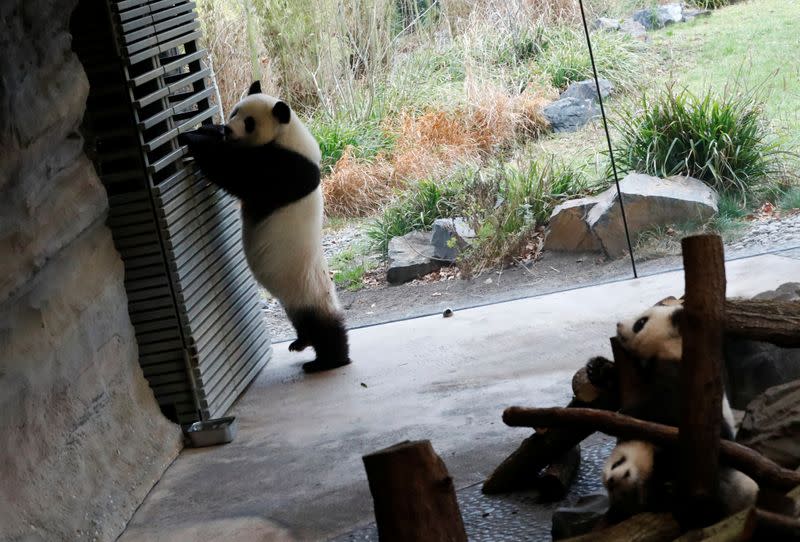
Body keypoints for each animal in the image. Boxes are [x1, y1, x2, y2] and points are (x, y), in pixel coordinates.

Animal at [181, 82, 350, 374]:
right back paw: (300, 343)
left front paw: (196, 140)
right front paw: (207, 130)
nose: (229, 129)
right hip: (294, 299)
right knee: (300, 320)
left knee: (324, 327)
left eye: (249, 122)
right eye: (235, 111)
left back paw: (327, 362)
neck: (289, 135)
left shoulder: (286, 170)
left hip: (309, 290)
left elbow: (238, 173)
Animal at [592, 300, 760, 524]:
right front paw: (598, 369)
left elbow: (666, 412)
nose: (619, 324)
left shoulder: (684, 380)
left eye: (641, 322)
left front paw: (628, 413)